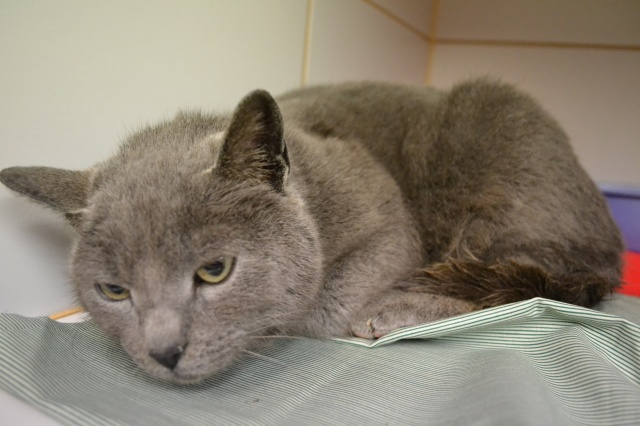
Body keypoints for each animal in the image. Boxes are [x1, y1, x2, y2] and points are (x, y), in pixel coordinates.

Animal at [0, 79, 623, 384]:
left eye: (215, 271)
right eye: (113, 291)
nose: (164, 352)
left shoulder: (389, 218)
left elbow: (324, 307)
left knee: (536, 279)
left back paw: (401, 308)